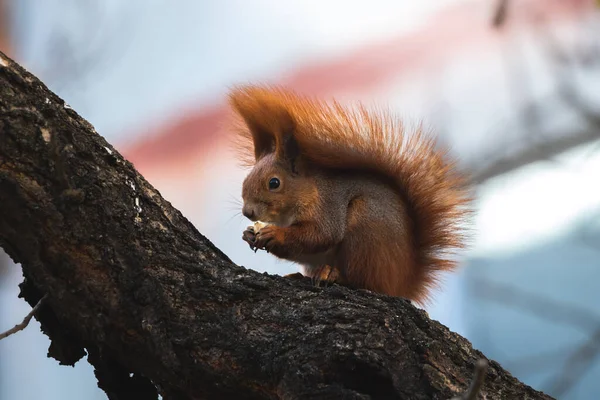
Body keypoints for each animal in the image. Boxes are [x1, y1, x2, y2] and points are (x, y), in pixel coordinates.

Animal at [229, 84, 468, 304]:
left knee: (364, 282)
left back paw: (333, 275)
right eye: (245, 180)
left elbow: (320, 235)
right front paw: (248, 234)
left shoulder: (329, 207)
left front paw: (274, 234)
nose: (248, 212)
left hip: (366, 233)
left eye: (274, 183)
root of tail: (402, 283)